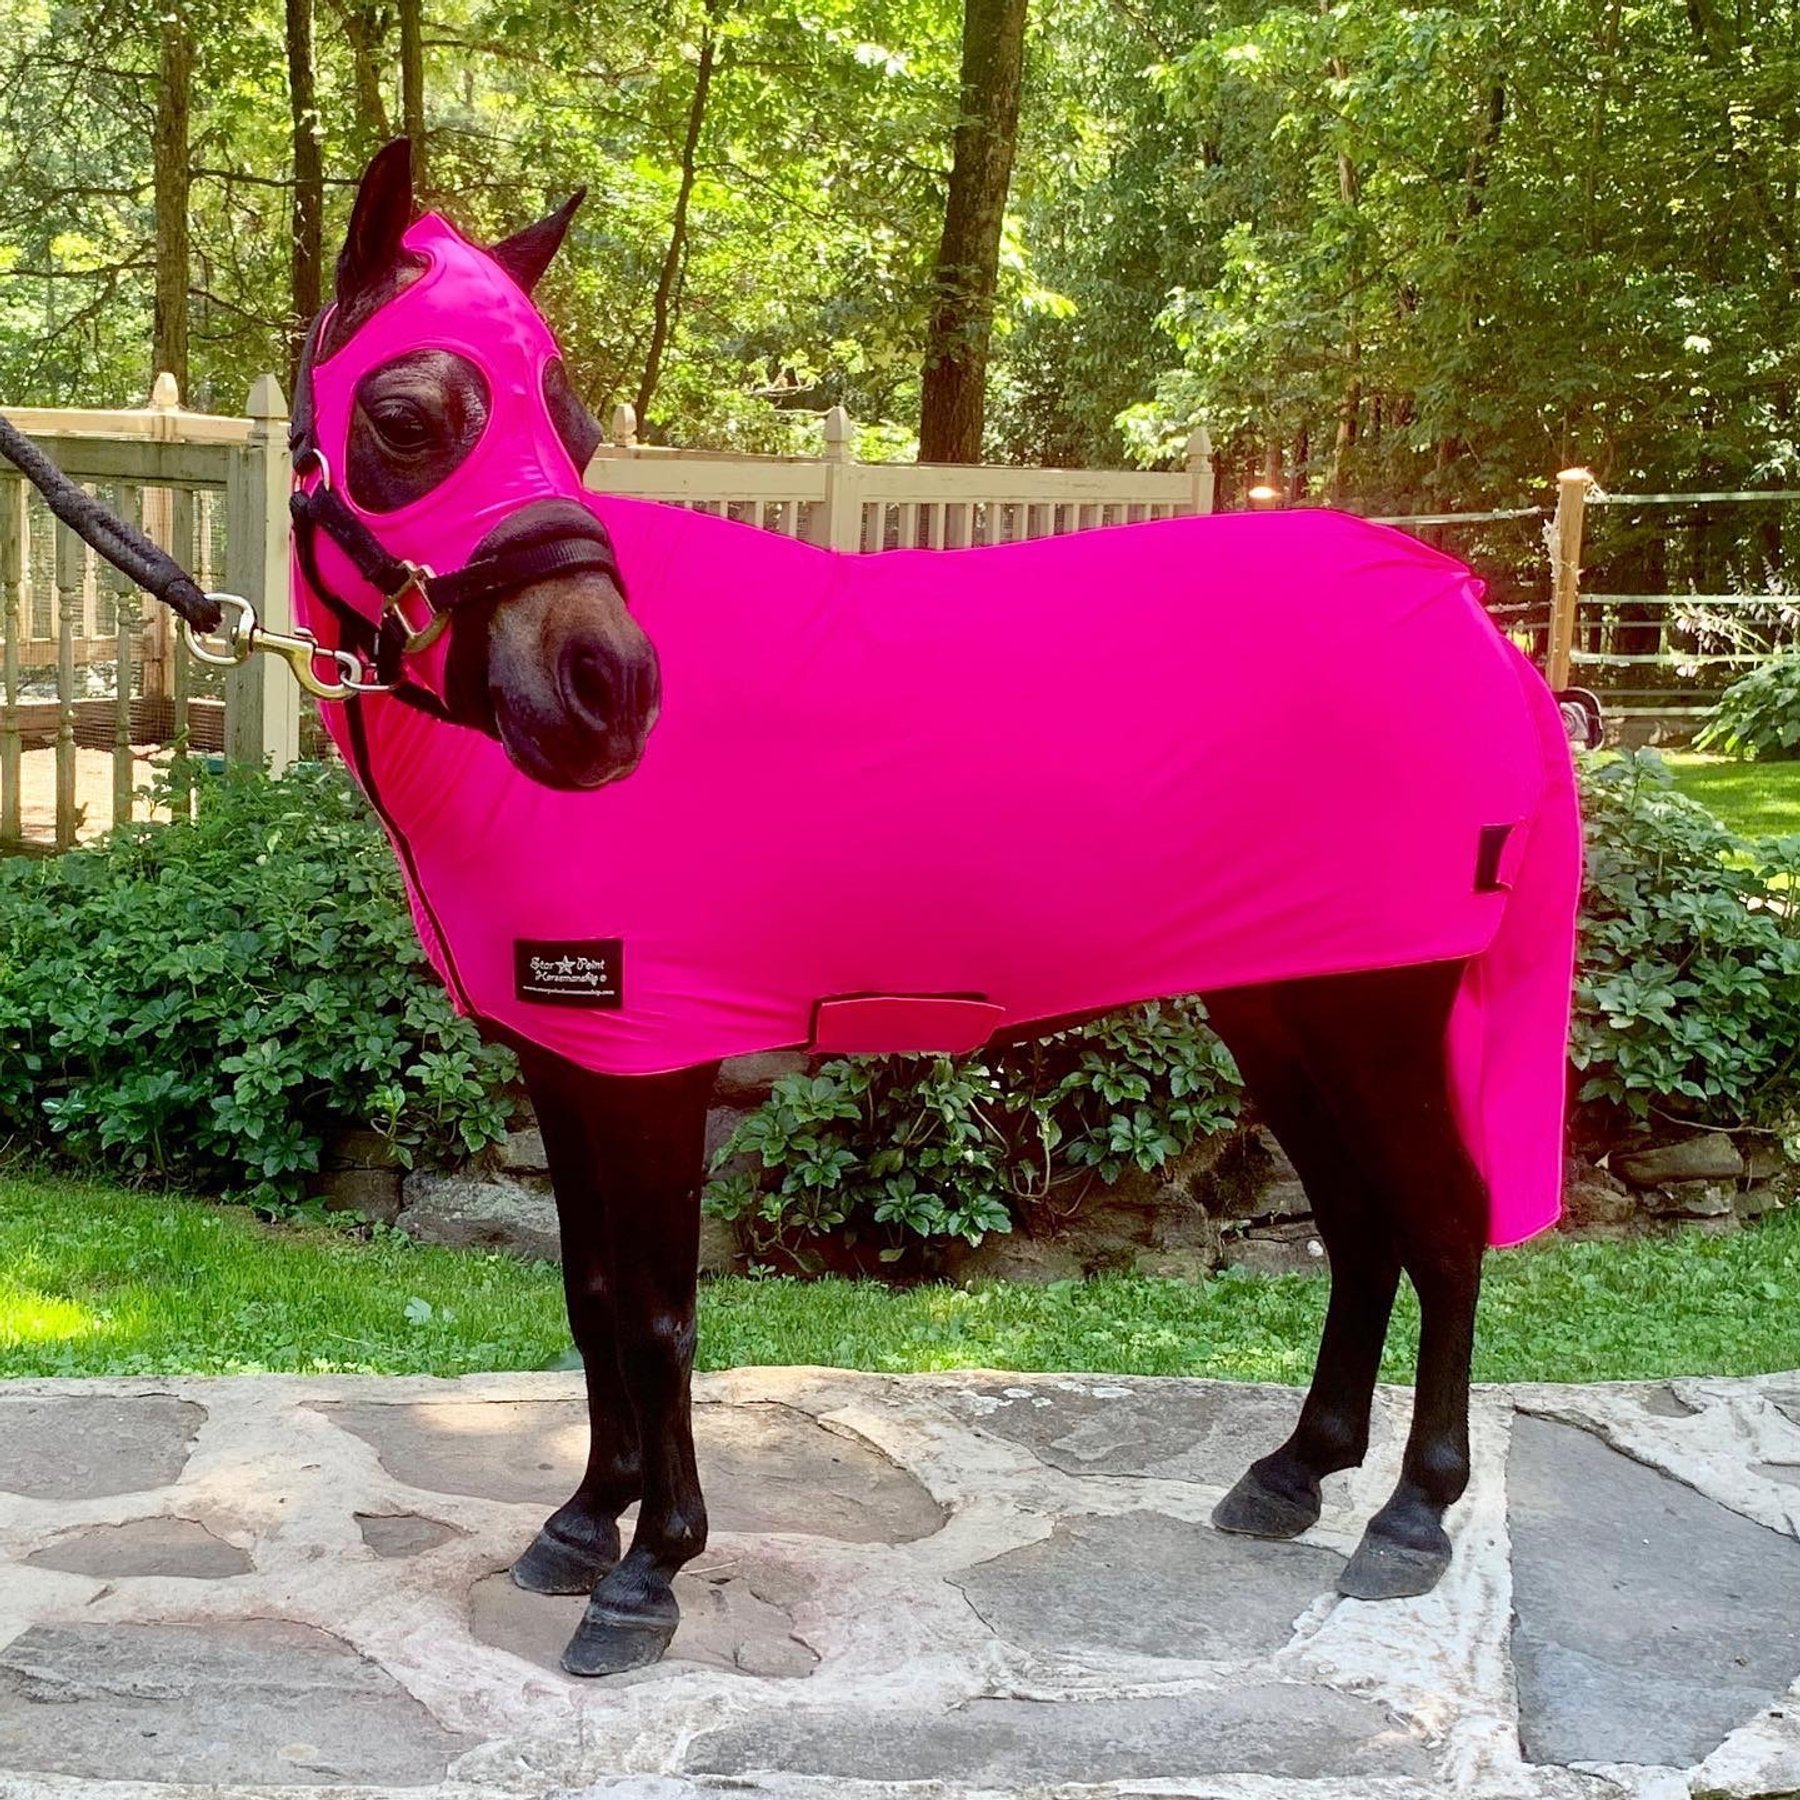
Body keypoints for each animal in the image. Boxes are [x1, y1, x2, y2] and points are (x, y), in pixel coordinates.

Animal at [289, 140, 1581, 1677]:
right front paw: (578, 1525)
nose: (607, 693)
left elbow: (659, 1317)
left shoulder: (652, 1064)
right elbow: (593, 1297)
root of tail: (1468, 606)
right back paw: (1292, 1474)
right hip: (1286, 1001)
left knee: (1440, 1222)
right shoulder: (569, 1056)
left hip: (1379, 1005)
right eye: (405, 414)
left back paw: (1412, 1519)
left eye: (578, 434)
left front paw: (648, 1575)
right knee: (1364, 1223)